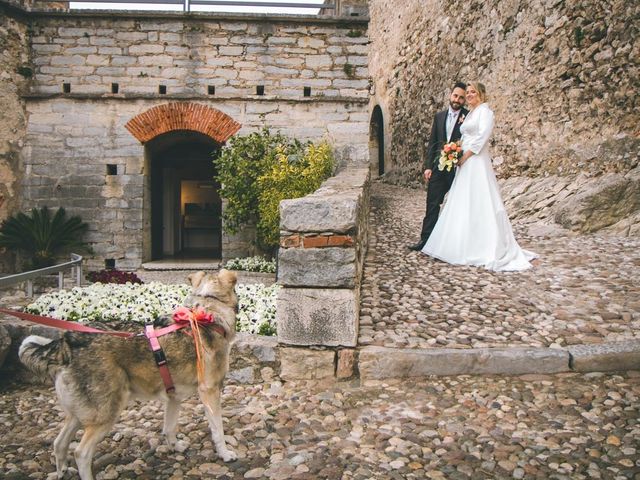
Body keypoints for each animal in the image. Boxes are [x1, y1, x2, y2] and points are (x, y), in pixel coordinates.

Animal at [18, 270, 238, 480]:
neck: (207, 313)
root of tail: (67, 342)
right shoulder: (210, 391)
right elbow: (218, 430)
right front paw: (225, 454)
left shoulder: (173, 396)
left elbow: (169, 427)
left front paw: (175, 447)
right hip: (107, 412)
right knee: (81, 453)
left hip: (81, 412)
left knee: (59, 443)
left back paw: (62, 471)